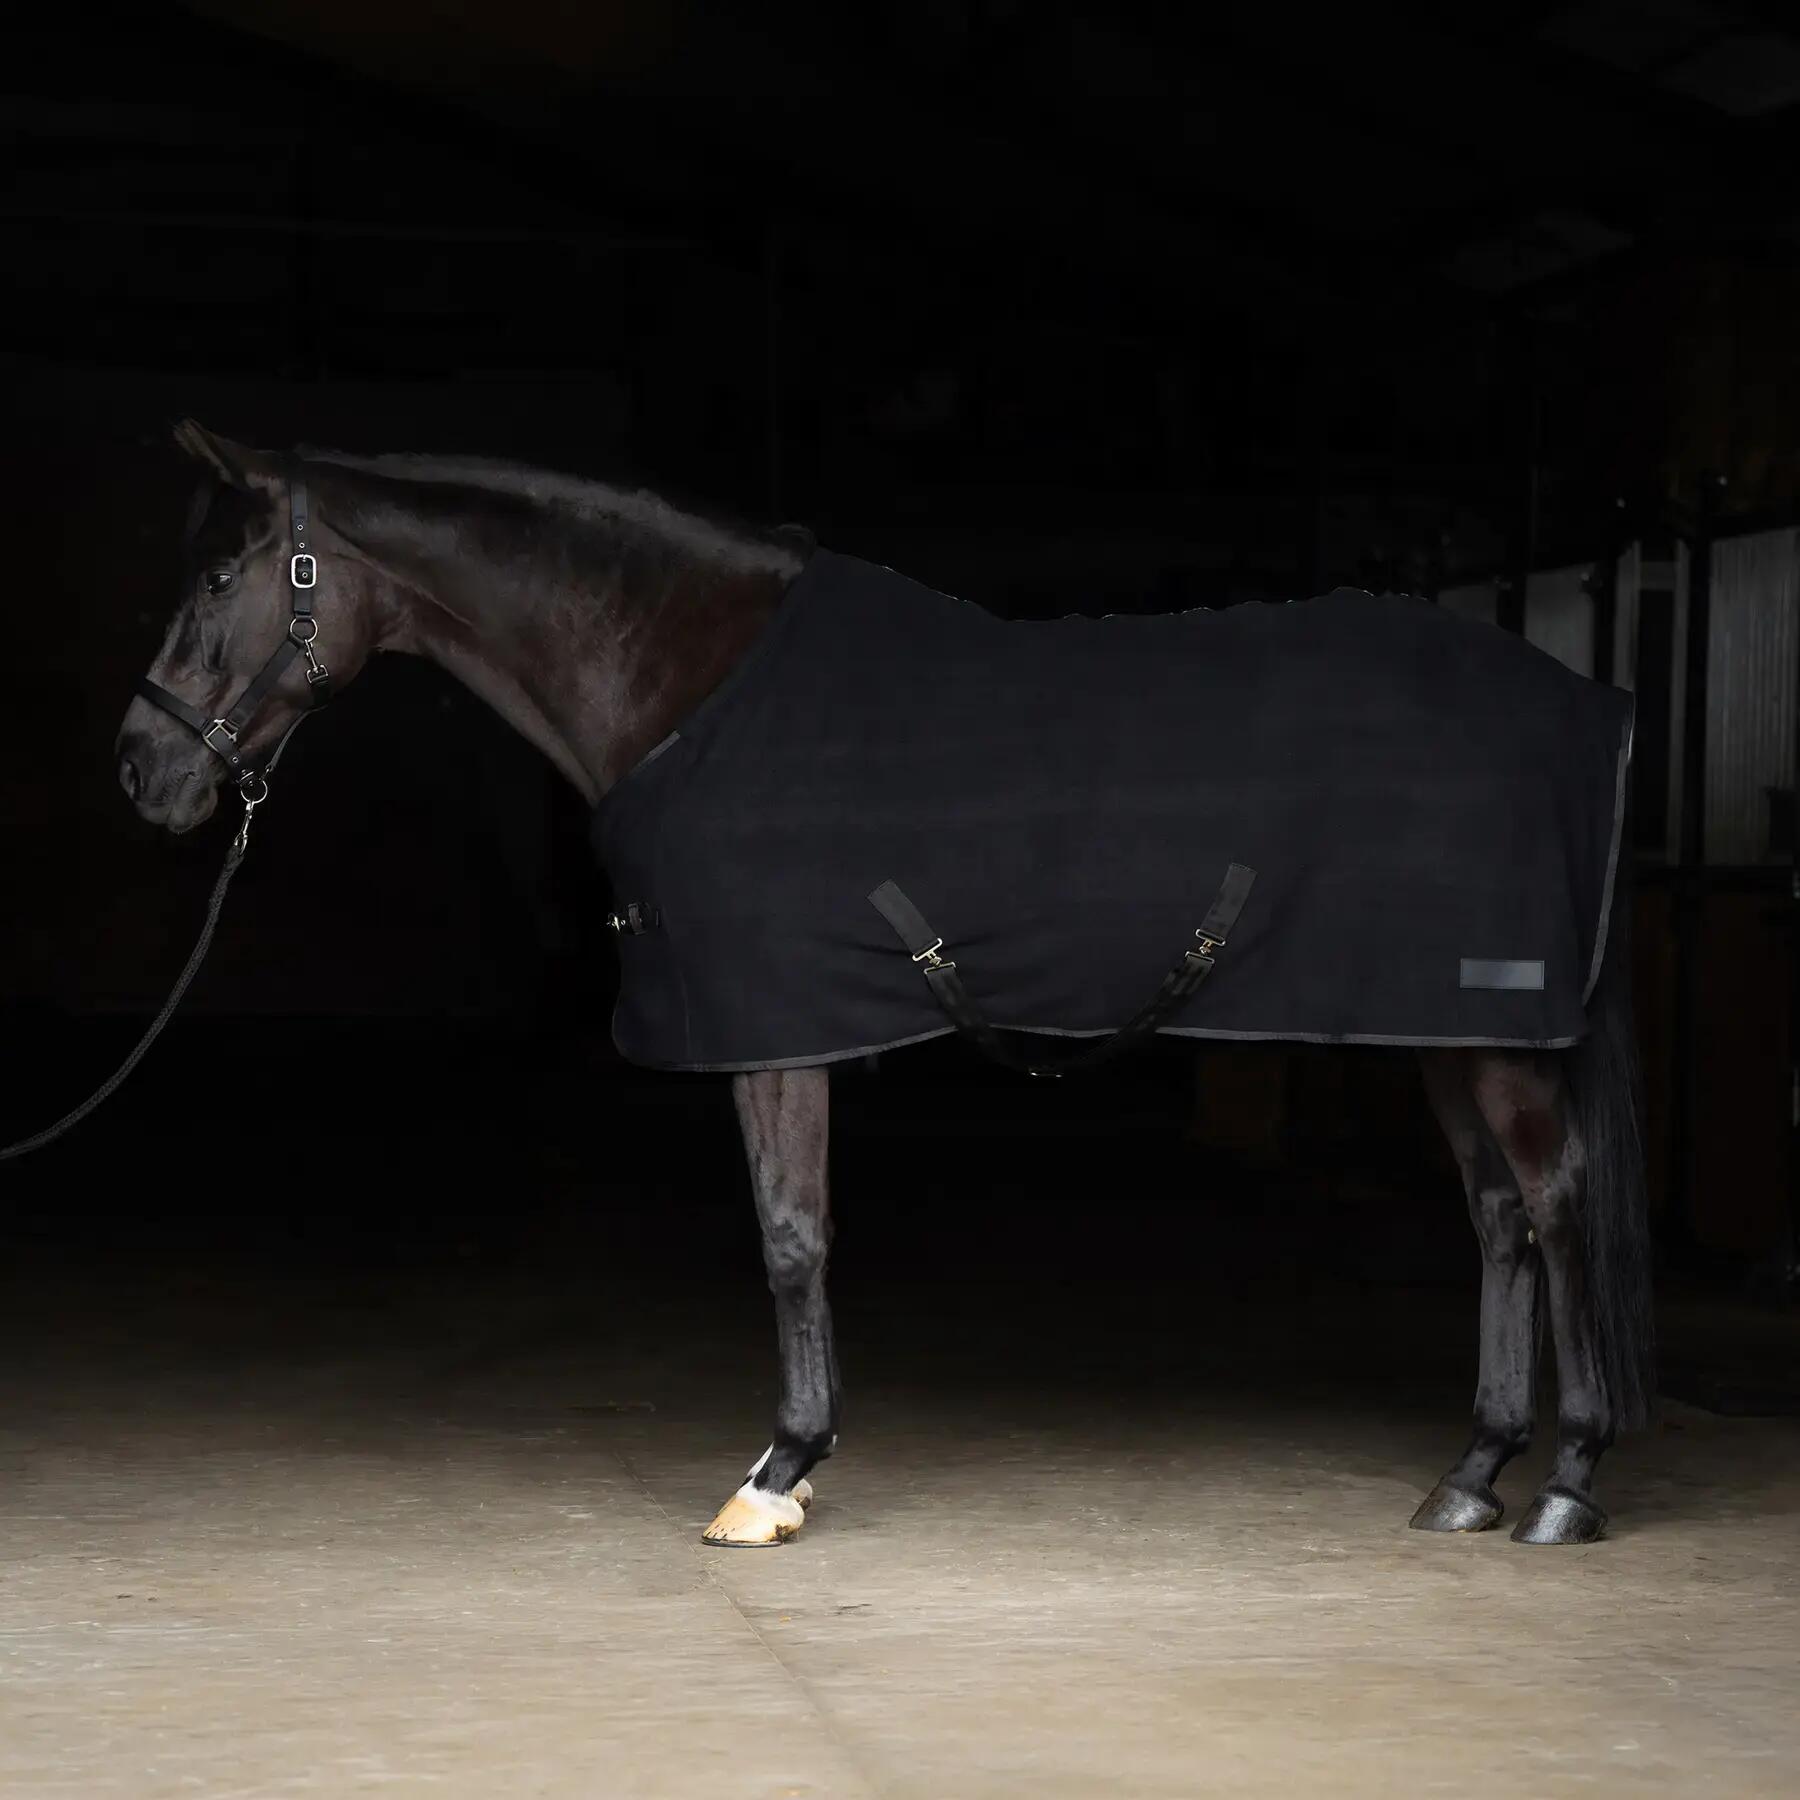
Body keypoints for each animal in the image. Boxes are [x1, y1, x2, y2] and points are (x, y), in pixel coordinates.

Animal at [116, 420, 1656, 1548]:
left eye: (217, 580)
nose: (143, 767)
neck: (689, 678)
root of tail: (1589, 704)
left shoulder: (773, 1028)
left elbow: (793, 1234)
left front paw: (779, 1472)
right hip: (1440, 1027)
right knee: (1499, 1215)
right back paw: (1472, 1474)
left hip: (1496, 1031)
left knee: (1556, 1198)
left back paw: (1568, 1483)